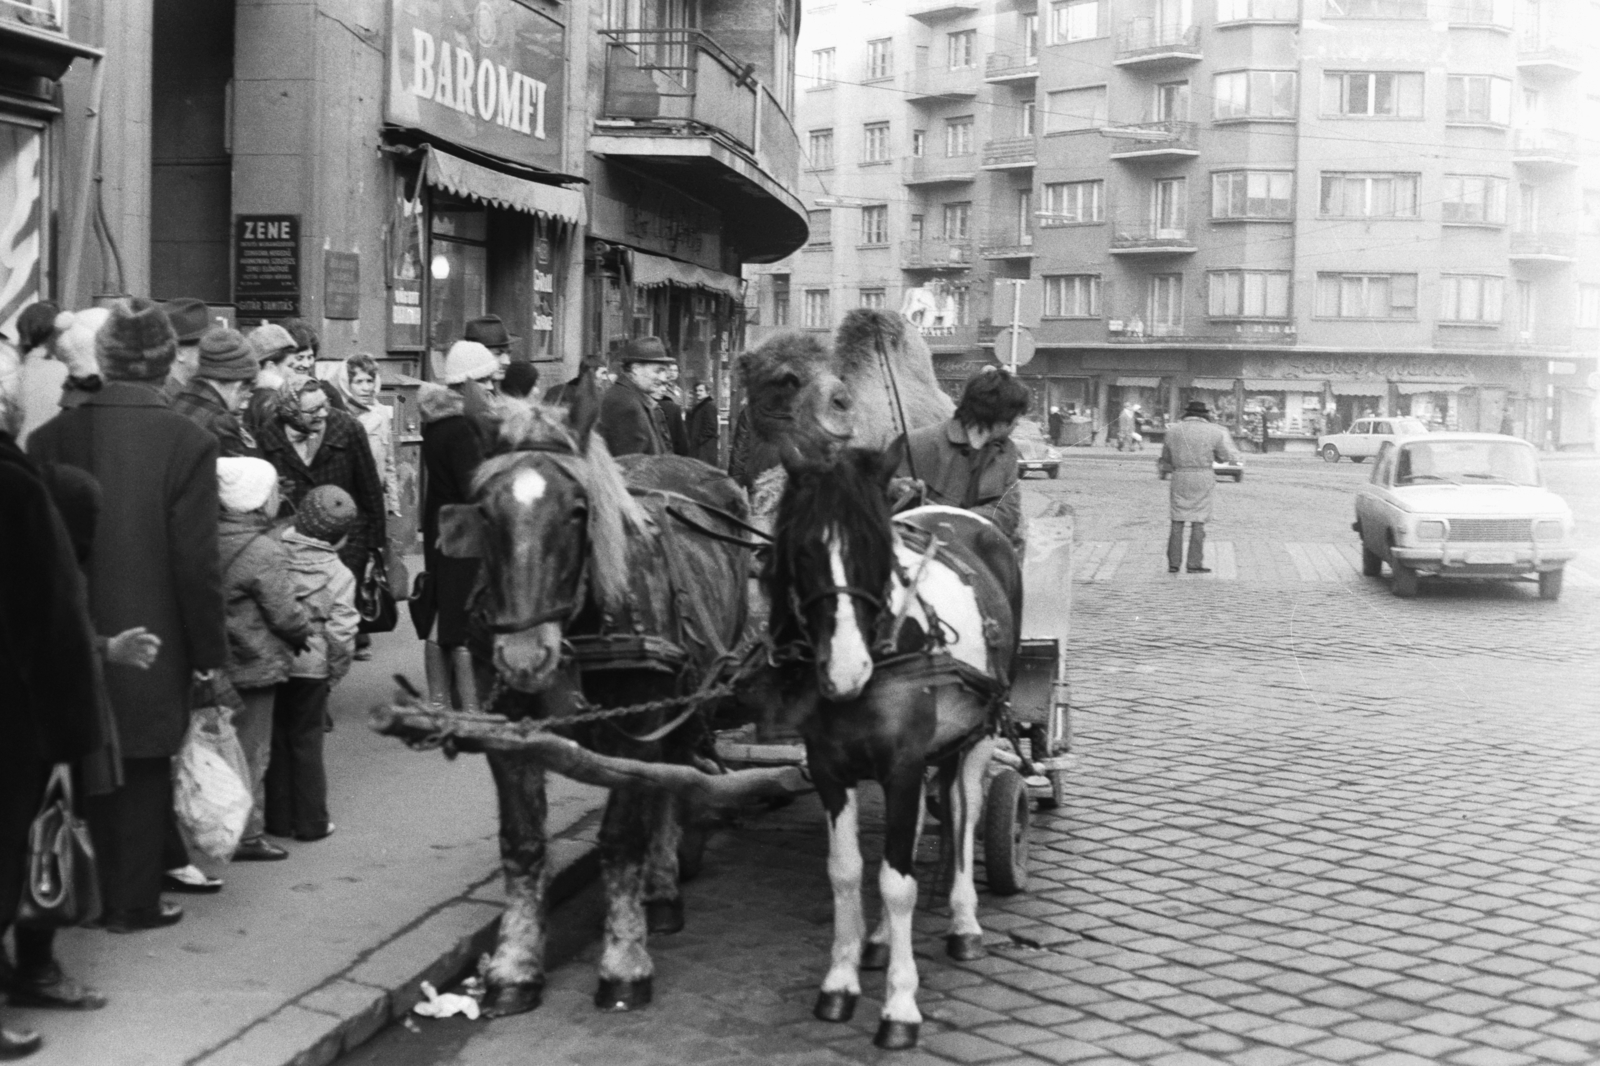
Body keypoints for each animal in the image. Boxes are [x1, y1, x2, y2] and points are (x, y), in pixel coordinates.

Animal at [438, 388, 755, 1011]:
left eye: (577, 510)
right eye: (484, 510)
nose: (524, 656)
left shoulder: (637, 733)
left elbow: (620, 842)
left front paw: (624, 963)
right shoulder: (510, 739)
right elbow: (523, 844)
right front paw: (513, 967)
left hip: (692, 696)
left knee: (677, 774)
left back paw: (662, 889)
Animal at [764, 438, 1024, 1043]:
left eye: (875, 546)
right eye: (804, 550)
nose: (845, 669)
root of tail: (961, 514)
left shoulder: (902, 766)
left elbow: (897, 882)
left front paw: (900, 1005)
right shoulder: (830, 767)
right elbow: (847, 872)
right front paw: (840, 982)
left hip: (979, 730)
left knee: (965, 812)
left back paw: (964, 922)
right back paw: (881, 939)